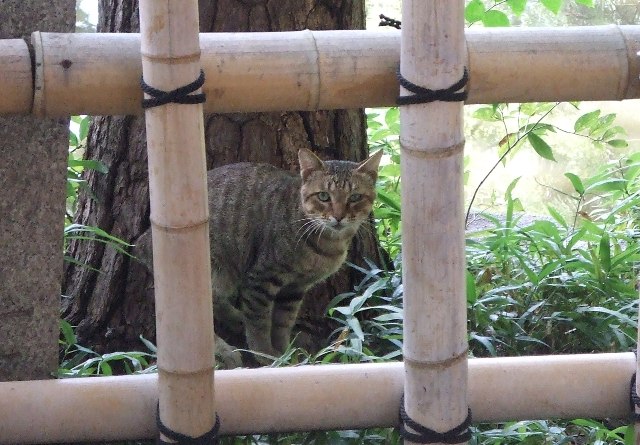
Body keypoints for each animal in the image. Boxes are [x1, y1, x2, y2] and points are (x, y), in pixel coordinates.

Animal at [136, 147, 380, 366]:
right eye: (323, 196)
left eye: (355, 197)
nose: (338, 217)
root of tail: (142, 241)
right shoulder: (261, 279)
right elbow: (259, 322)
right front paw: (265, 355)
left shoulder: (295, 289)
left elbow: (283, 323)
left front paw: (284, 352)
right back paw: (225, 350)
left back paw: (236, 319)